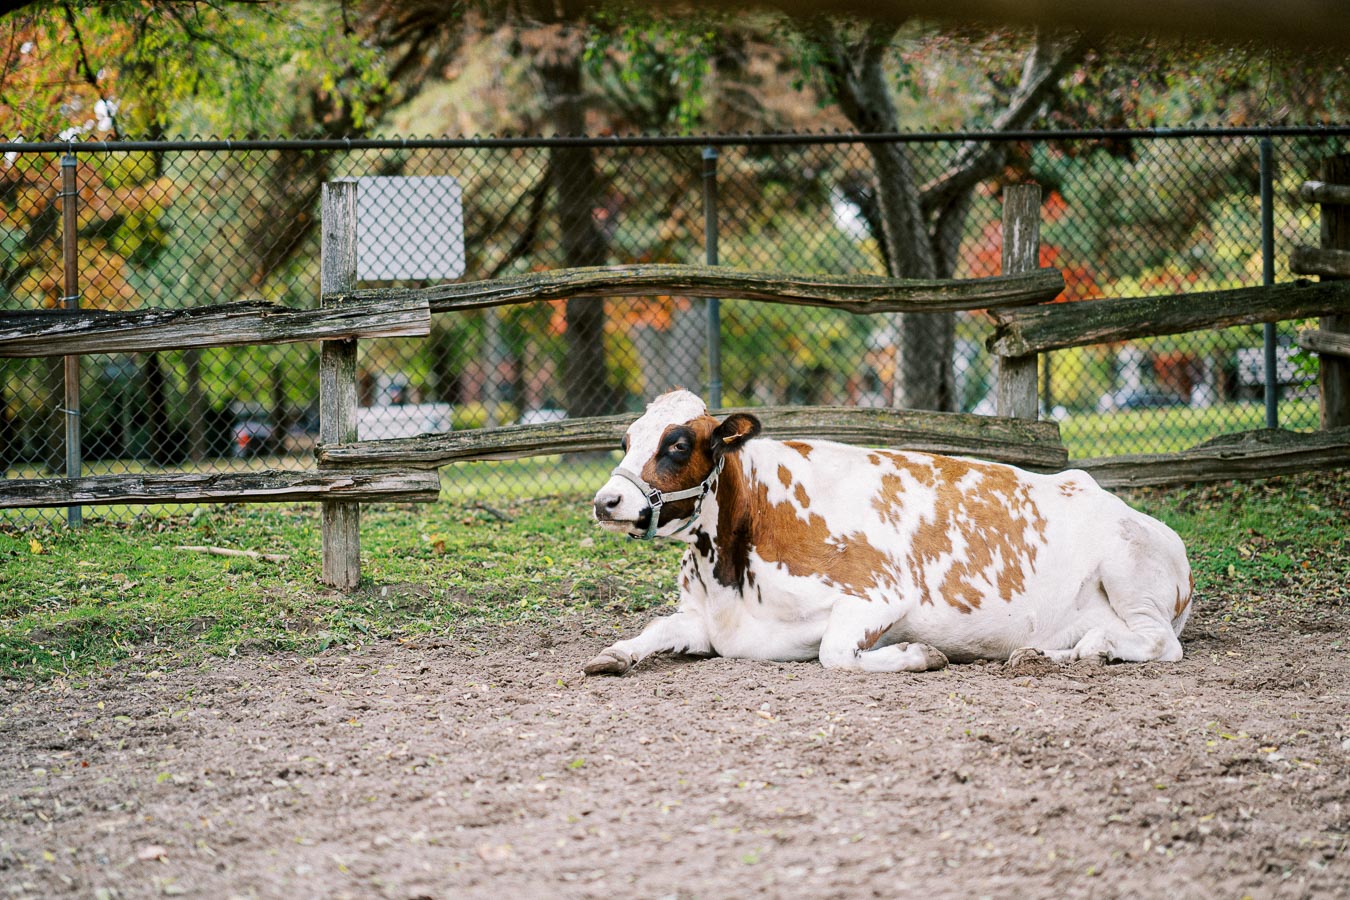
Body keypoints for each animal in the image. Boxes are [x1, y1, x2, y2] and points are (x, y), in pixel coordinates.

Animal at [585, 389, 1192, 676]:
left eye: (678, 442)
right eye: (626, 440)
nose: (605, 501)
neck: (729, 572)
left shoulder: (879, 595)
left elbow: (834, 653)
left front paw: (919, 655)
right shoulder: (704, 621)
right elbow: (654, 629)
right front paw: (613, 655)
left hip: (1129, 570)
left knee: (1161, 643)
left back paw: (1092, 651)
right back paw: (1052, 654)